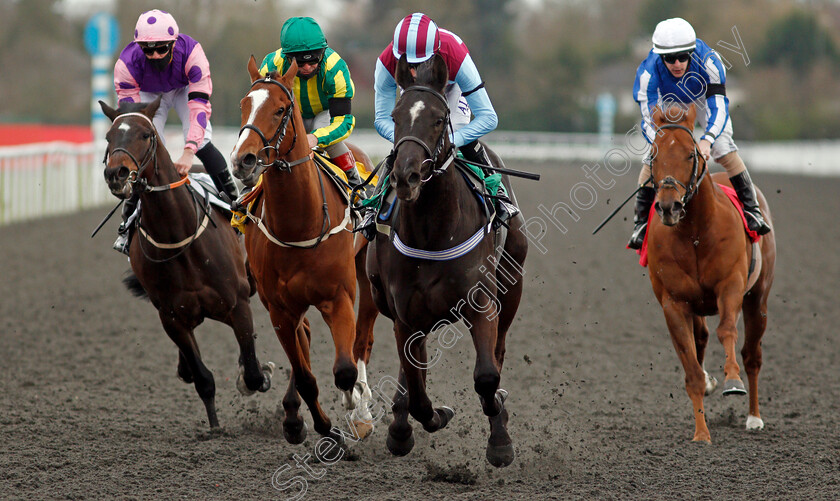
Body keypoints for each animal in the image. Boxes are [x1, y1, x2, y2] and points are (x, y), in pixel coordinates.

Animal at [99, 98, 272, 430]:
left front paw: (260, 372)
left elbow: (254, 374)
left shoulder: (238, 304)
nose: (117, 173)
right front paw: (214, 427)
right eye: (108, 137)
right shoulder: (172, 318)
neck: (178, 236)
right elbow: (203, 378)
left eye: (145, 135)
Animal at [226, 56, 378, 444]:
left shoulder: (339, 297)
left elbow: (344, 369)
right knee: (305, 339)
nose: (243, 160)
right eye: (243, 105)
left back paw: (362, 406)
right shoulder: (280, 308)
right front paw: (319, 428)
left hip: (366, 273)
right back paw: (295, 415)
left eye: (280, 110)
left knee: (363, 338)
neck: (300, 224)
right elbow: (307, 376)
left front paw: (355, 407)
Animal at [366, 54, 524, 468]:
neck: (433, 232)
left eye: (438, 119)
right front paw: (428, 416)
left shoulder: (482, 303)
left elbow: (487, 376)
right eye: (395, 116)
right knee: (412, 369)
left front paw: (499, 437)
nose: (406, 177)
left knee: (498, 352)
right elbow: (419, 393)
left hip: (512, 286)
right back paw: (399, 427)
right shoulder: (405, 315)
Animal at [648, 104, 776, 442]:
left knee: (752, 355)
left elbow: (727, 332)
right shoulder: (674, 303)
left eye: (690, 154)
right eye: (653, 154)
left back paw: (754, 417)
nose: (668, 206)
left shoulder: (730, 286)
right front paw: (701, 434)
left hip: (757, 298)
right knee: (701, 338)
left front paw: (732, 381)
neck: (694, 233)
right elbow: (691, 367)